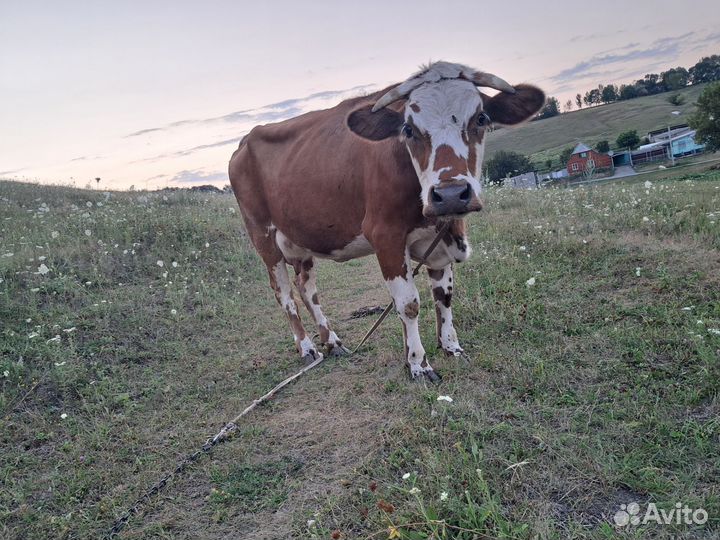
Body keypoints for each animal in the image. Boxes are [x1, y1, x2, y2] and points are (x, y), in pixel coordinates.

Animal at [229, 61, 544, 381]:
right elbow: (408, 304)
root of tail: (244, 141)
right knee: (285, 294)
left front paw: (451, 347)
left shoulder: (439, 241)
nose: (451, 194)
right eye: (408, 129)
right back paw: (307, 347)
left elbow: (443, 297)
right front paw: (418, 363)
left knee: (307, 289)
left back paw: (331, 341)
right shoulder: (386, 236)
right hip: (263, 236)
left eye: (481, 118)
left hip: (301, 238)